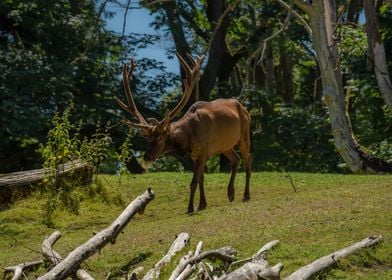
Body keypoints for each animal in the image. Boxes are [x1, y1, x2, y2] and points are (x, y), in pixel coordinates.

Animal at [115, 53, 253, 213]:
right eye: (148, 139)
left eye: (160, 137)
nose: (147, 156)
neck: (189, 138)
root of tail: (244, 108)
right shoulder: (196, 155)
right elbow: (201, 178)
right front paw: (202, 204)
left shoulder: (204, 151)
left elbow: (193, 181)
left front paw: (190, 208)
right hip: (225, 145)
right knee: (236, 159)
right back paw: (230, 193)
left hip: (244, 134)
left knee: (247, 160)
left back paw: (246, 195)